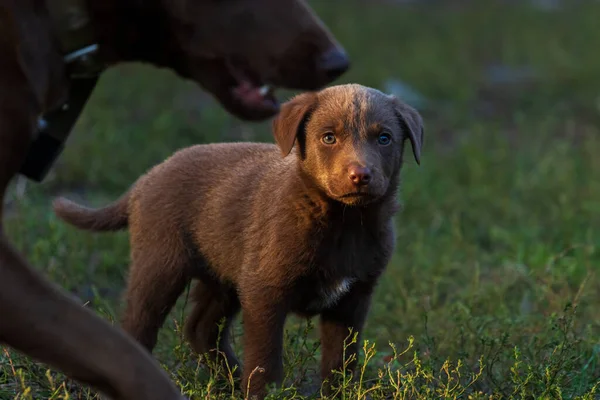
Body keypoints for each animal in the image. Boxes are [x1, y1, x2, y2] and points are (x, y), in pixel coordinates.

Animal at [54, 83, 424, 396]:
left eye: (384, 138)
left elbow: (340, 360)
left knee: (201, 329)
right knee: (140, 324)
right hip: (160, 263)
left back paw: (229, 380)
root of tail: (146, 179)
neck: (342, 223)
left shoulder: (354, 296)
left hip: (224, 275)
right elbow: (265, 359)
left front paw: (338, 393)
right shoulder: (265, 290)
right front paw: (264, 394)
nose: (360, 175)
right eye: (329, 137)